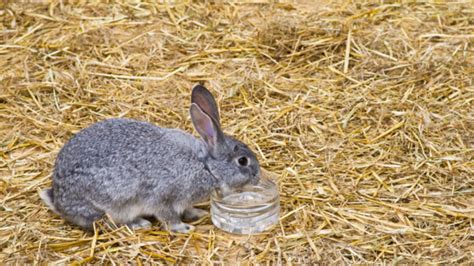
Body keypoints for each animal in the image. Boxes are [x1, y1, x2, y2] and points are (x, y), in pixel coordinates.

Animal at [39, 85, 262, 233]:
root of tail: (58, 200)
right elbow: (168, 216)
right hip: (111, 203)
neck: (205, 166)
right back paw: (139, 223)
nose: (258, 176)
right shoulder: (164, 197)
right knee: (108, 222)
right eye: (242, 161)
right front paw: (183, 227)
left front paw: (198, 214)